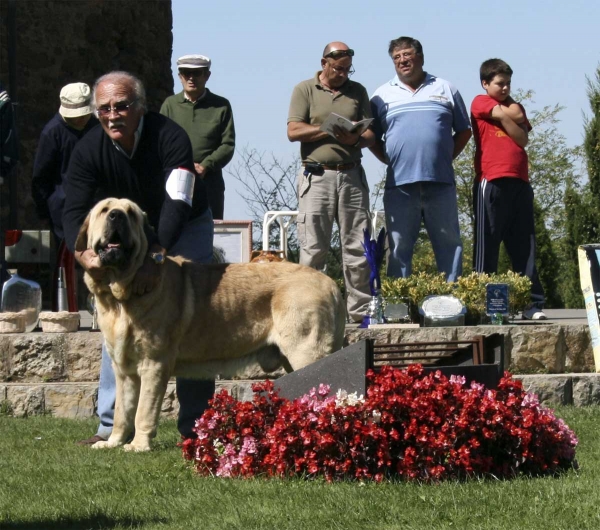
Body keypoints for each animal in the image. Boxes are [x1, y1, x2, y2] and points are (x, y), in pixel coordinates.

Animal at [75, 198, 346, 450]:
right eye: (104, 210)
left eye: (130, 213)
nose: (116, 216)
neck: (121, 295)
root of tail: (331, 284)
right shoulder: (124, 370)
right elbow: (123, 411)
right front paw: (113, 442)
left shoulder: (153, 365)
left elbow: (143, 410)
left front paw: (138, 445)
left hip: (305, 352)